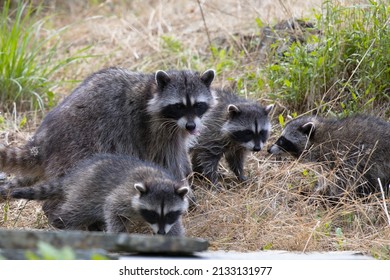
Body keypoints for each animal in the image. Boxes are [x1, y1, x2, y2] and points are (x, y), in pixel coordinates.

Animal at [0, 154, 189, 235]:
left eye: (170, 214)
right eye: (153, 213)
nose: (161, 233)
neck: (157, 180)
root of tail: (75, 174)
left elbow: (175, 227)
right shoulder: (124, 195)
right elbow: (112, 208)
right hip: (87, 190)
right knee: (77, 210)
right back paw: (60, 221)